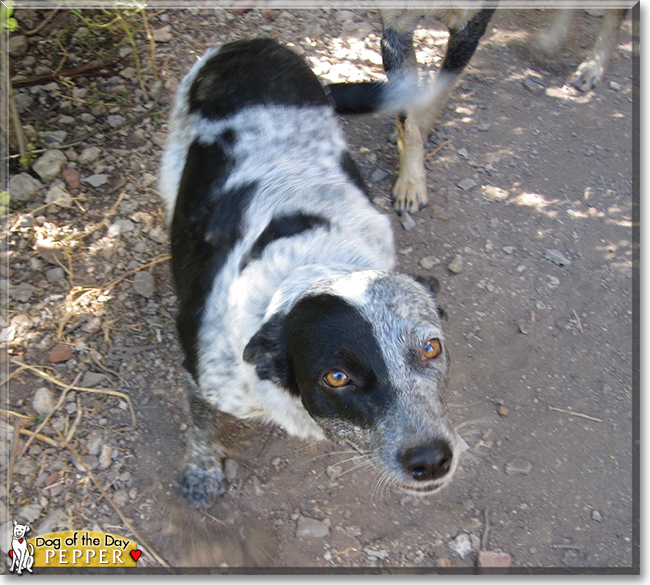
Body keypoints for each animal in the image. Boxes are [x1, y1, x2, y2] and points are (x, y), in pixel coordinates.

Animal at [159, 38, 458, 508]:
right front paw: (202, 469)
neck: (310, 262)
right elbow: (200, 421)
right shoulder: (200, 370)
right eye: (336, 377)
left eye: (431, 348)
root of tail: (254, 44)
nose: (431, 460)